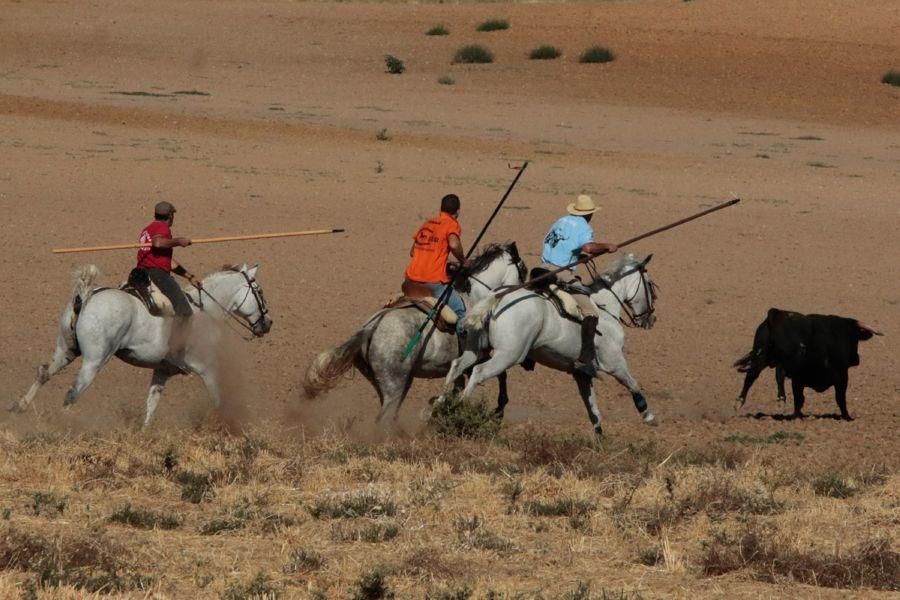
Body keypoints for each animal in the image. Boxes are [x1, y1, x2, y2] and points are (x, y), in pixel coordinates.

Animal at [12, 264, 272, 426]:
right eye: (259, 291)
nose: (268, 323)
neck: (206, 309)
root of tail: (87, 296)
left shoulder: (162, 371)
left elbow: (151, 404)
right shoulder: (207, 369)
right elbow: (218, 400)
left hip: (66, 350)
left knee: (44, 373)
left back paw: (19, 407)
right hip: (95, 361)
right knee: (73, 392)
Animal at [304, 241, 528, 424]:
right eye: (523, 269)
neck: (476, 295)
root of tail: (370, 328)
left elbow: (459, 384)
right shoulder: (479, 355)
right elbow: (501, 374)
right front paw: (499, 407)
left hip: (390, 382)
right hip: (395, 385)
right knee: (384, 417)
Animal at [442, 253, 660, 436]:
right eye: (650, 285)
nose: (651, 319)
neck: (605, 309)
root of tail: (497, 296)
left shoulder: (582, 374)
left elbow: (593, 411)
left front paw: (600, 442)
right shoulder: (615, 364)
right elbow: (633, 384)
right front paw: (648, 415)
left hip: (478, 348)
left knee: (457, 365)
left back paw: (441, 406)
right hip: (508, 355)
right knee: (478, 372)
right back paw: (459, 411)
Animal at [732, 308, 880, 420]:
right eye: (855, 340)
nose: (856, 359)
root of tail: (777, 313)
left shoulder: (799, 379)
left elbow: (799, 398)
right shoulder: (841, 376)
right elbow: (840, 398)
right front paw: (847, 417)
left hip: (762, 357)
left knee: (751, 376)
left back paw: (740, 402)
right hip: (784, 361)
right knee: (777, 375)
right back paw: (781, 399)